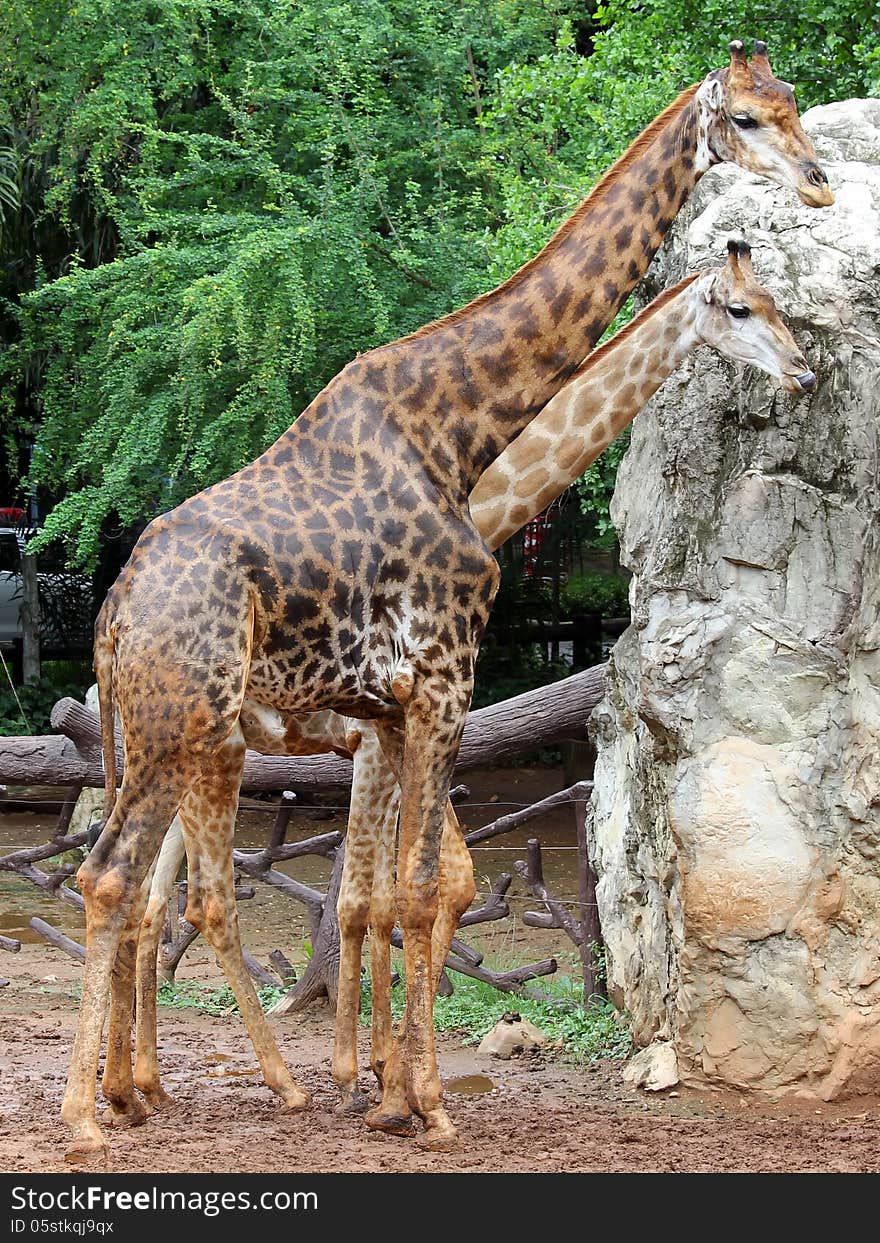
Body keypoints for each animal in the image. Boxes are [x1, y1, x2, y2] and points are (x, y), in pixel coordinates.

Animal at [68, 41, 830, 1163]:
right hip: (188, 728)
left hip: (178, 736)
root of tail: (113, 610)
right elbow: (423, 890)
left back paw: (139, 1091)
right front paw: (415, 1101)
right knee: (128, 880)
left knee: (143, 885)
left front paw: (380, 1090)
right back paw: (107, 1111)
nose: (819, 181)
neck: (462, 435)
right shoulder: (437, 686)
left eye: (792, 105)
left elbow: (391, 895)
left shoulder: (387, 715)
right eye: (743, 118)